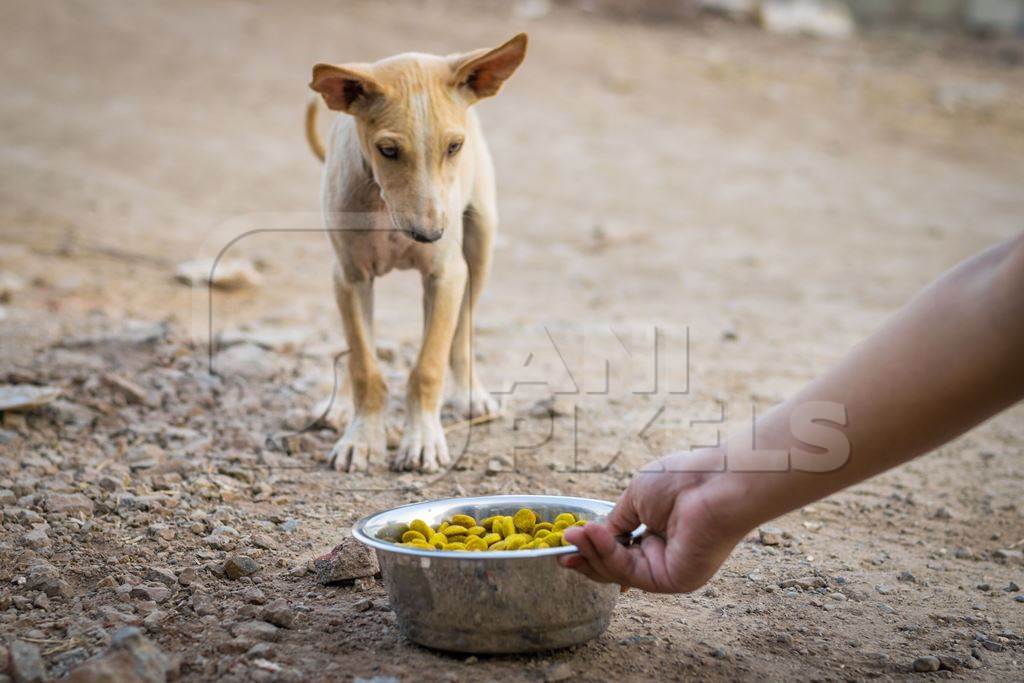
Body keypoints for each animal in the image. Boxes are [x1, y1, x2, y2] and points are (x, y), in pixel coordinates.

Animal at [303, 34, 528, 473]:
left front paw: (422, 438)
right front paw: (361, 438)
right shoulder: (350, 276)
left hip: (480, 243)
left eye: (454, 146)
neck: (381, 205)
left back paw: (470, 394)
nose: (430, 234)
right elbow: (364, 364)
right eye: (388, 150)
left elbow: (428, 365)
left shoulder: (446, 275)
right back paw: (337, 406)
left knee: (460, 334)